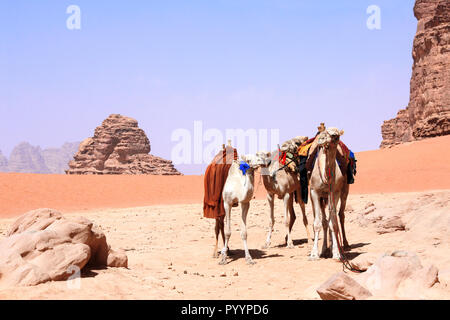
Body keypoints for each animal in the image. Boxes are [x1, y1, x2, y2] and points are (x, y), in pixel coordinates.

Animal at [308, 127, 346, 260]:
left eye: (336, 135)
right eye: (325, 133)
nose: (321, 139)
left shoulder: (335, 192)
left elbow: (333, 224)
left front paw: (337, 253)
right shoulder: (314, 192)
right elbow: (317, 223)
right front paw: (314, 254)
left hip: (343, 193)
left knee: (339, 215)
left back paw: (342, 245)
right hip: (320, 198)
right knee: (324, 222)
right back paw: (324, 249)